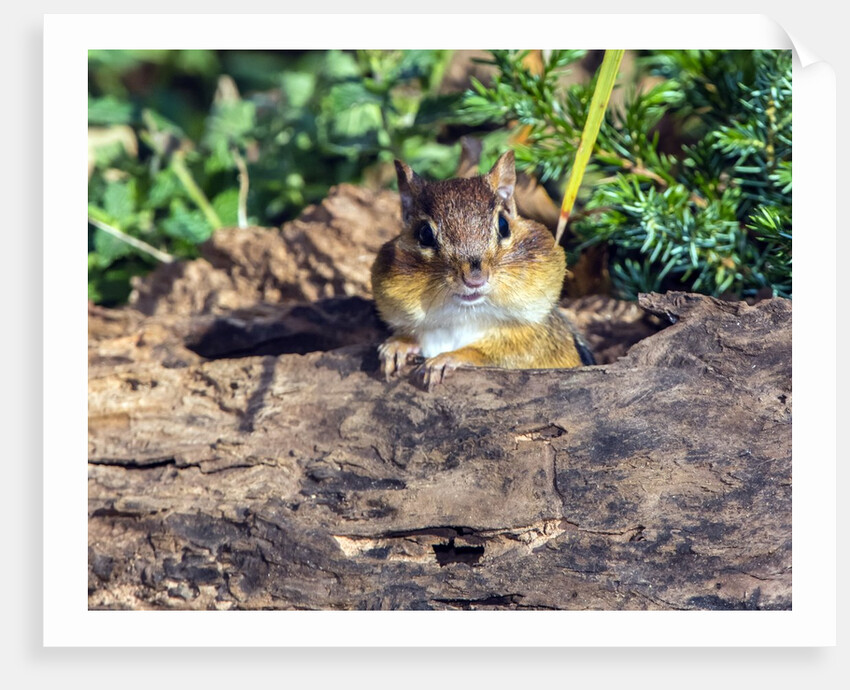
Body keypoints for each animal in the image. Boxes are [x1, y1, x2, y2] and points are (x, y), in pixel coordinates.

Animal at [371, 150, 594, 387]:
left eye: (503, 225)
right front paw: (398, 345)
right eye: (424, 234)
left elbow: (492, 352)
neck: (463, 319)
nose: (475, 279)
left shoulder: (535, 343)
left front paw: (448, 358)